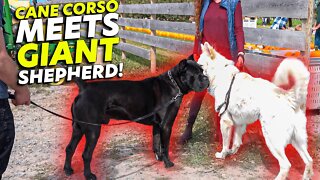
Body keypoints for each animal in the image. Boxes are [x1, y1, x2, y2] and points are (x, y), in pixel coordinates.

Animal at [63, 58, 209, 179]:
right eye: (196, 74)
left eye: (202, 71)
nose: (206, 78)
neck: (174, 84)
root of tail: (84, 87)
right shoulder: (166, 125)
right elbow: (165, 146)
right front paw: (168, 163)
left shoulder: (157, 126)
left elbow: (156, 143)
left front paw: (159, 158)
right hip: (93, 129)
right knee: (86, 154)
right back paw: (89, 175)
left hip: (78, 127)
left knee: (70, 148)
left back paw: (68, 170)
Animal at [199, 42, 314, 180]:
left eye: (199, 66)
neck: (220, 74)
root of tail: (290, 98)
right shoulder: (239, 123)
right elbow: (236, 142)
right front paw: (232, 152)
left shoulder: (226, 121)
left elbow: (226, 143)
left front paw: (222, 155)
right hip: (297, 140)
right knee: (309, 160)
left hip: (272, 140)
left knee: (286, 165)